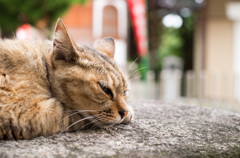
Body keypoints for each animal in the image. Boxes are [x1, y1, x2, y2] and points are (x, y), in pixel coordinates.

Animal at [0, 18, 133, 139]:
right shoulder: (29, 112)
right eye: (105, 89)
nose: (124, 112)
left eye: (125, 92)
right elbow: (78, 117)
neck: (43, 68)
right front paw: (129, 113)